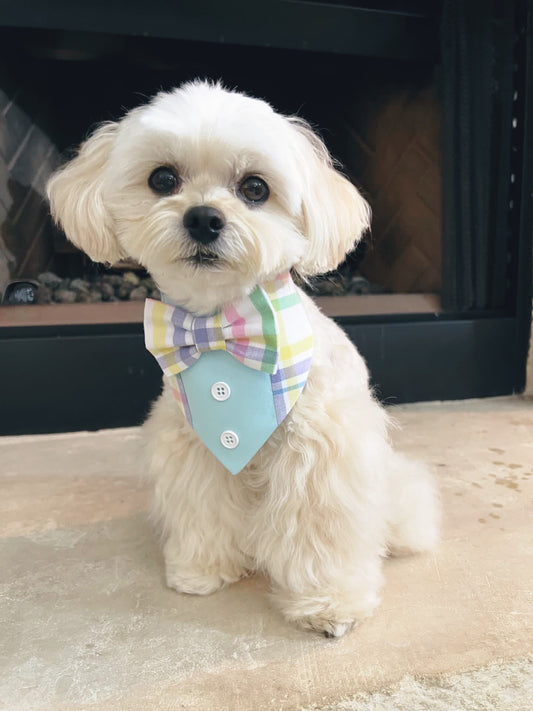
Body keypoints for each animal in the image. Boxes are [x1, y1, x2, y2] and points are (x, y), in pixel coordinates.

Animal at [46, 80, 436, 636]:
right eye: (162, 179)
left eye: (255, 188)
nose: (204, 218)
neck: (223, 327)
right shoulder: (194, 448)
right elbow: (203, 510)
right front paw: (202, 569)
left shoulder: (318, 455)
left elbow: (319, 533)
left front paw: (329, 602)